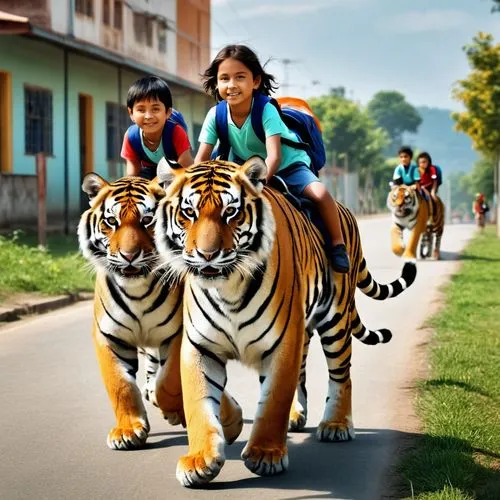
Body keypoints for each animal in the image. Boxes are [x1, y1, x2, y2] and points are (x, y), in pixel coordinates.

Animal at [77, 174, 243, 452]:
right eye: (111, 221)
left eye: (147, 220)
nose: (129, 256)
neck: (137, 292)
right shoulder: (109, 336)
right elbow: (119, 384)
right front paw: (127, 431)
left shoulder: (178, 334)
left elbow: (169, 381)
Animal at [153, 158, 418, 486]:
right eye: (189, 213)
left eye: (231, 212)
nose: (207, 255)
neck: (228, 289)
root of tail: (345, 212)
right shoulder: (201, 347)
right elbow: (200, 403)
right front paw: (199, 460)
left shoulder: (282, 343)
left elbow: (274, 399)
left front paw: (265, 456)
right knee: (302, 373)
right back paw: (297, 417)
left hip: (336, 322)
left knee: (341, 374)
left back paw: (336, 425)